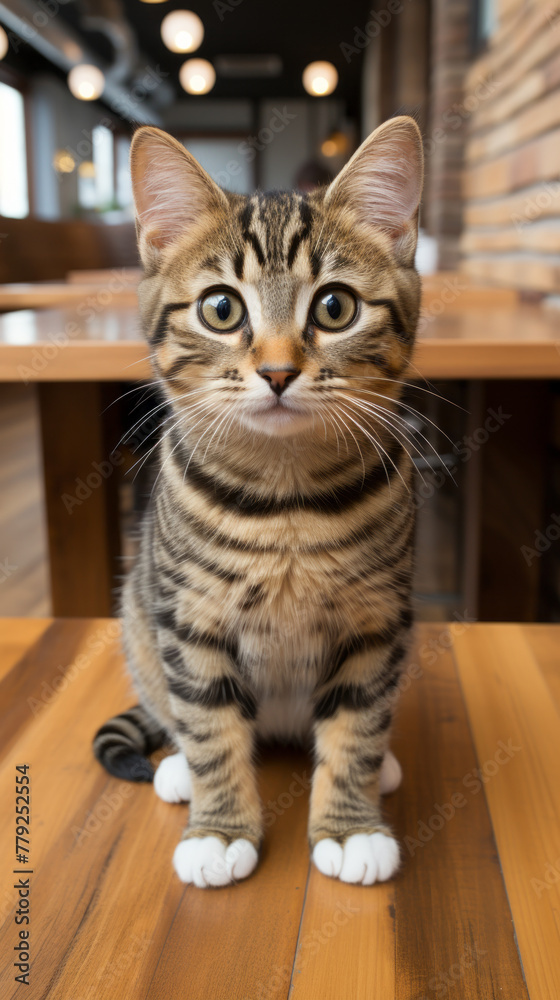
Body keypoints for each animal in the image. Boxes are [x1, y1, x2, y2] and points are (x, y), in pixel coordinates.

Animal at [94, 113, 422, 888]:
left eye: (335, 307)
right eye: (221, 309)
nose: (276, 371)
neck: (286, 501)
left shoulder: (377, 621)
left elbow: (358, 724)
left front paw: (350, 825)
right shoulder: (190, 620)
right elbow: (211, 729)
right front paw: (217, 828)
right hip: (139, 615)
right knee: (176, 710)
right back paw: (178, 770)